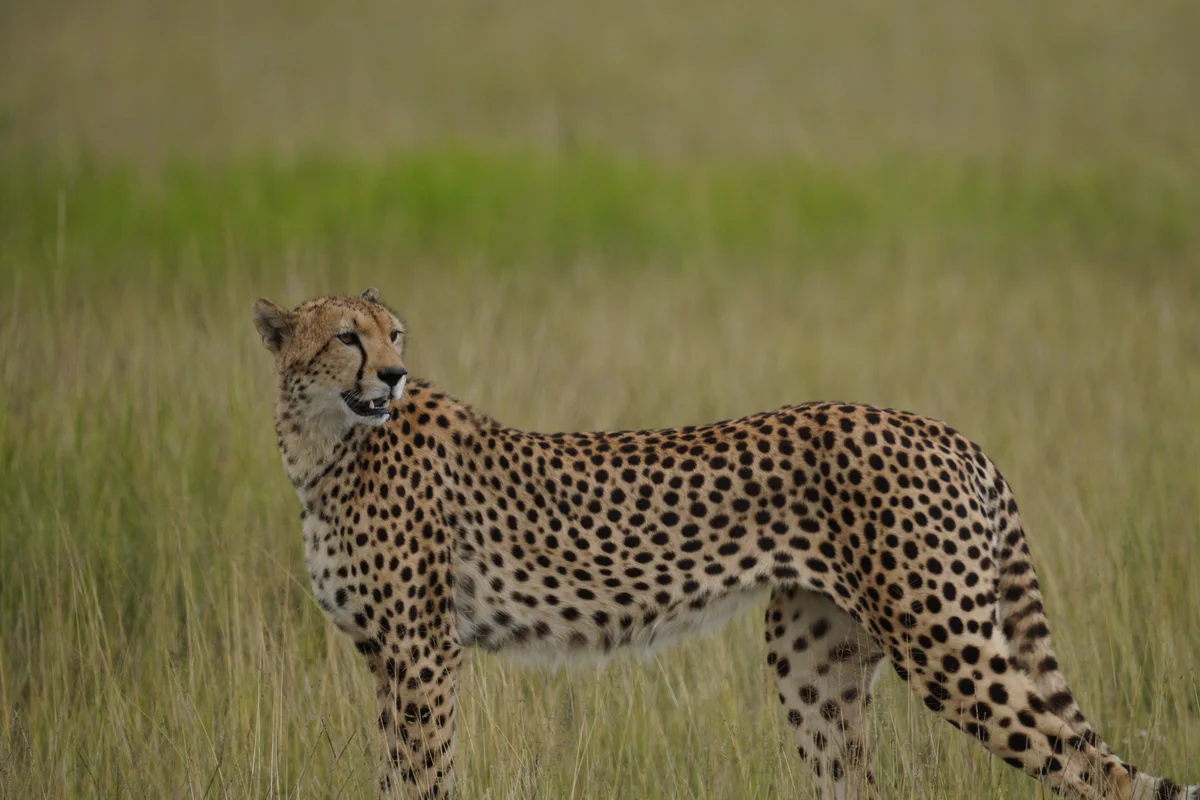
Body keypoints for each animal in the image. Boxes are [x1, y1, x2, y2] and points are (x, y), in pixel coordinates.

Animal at [253, 288, 1197, 800]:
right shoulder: (387, 659)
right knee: (858, 778)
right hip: (814, 660)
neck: (323, 448)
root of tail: (944, 429)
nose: (393, 374)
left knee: (1095, 770)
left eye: (393, 333)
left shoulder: (423, 655)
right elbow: (393, 775)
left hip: (945, 645)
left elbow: (421, 777)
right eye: (347, 335)